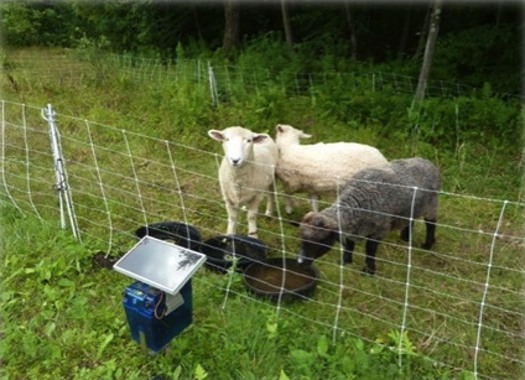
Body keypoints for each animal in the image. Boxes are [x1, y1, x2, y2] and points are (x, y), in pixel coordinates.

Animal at [296, 157, 440, 276]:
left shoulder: (379, 230)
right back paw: (406, 238)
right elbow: (349, 246)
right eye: (302, 238)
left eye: (320, 241)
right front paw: (345, 262)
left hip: (431, 204)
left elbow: (370, 250)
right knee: (411, 220)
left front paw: (368, 271)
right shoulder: (352, 229)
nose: (300, 262)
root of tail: (426, 161)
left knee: (431, 223)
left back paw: (428, 244)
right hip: (411, 207)